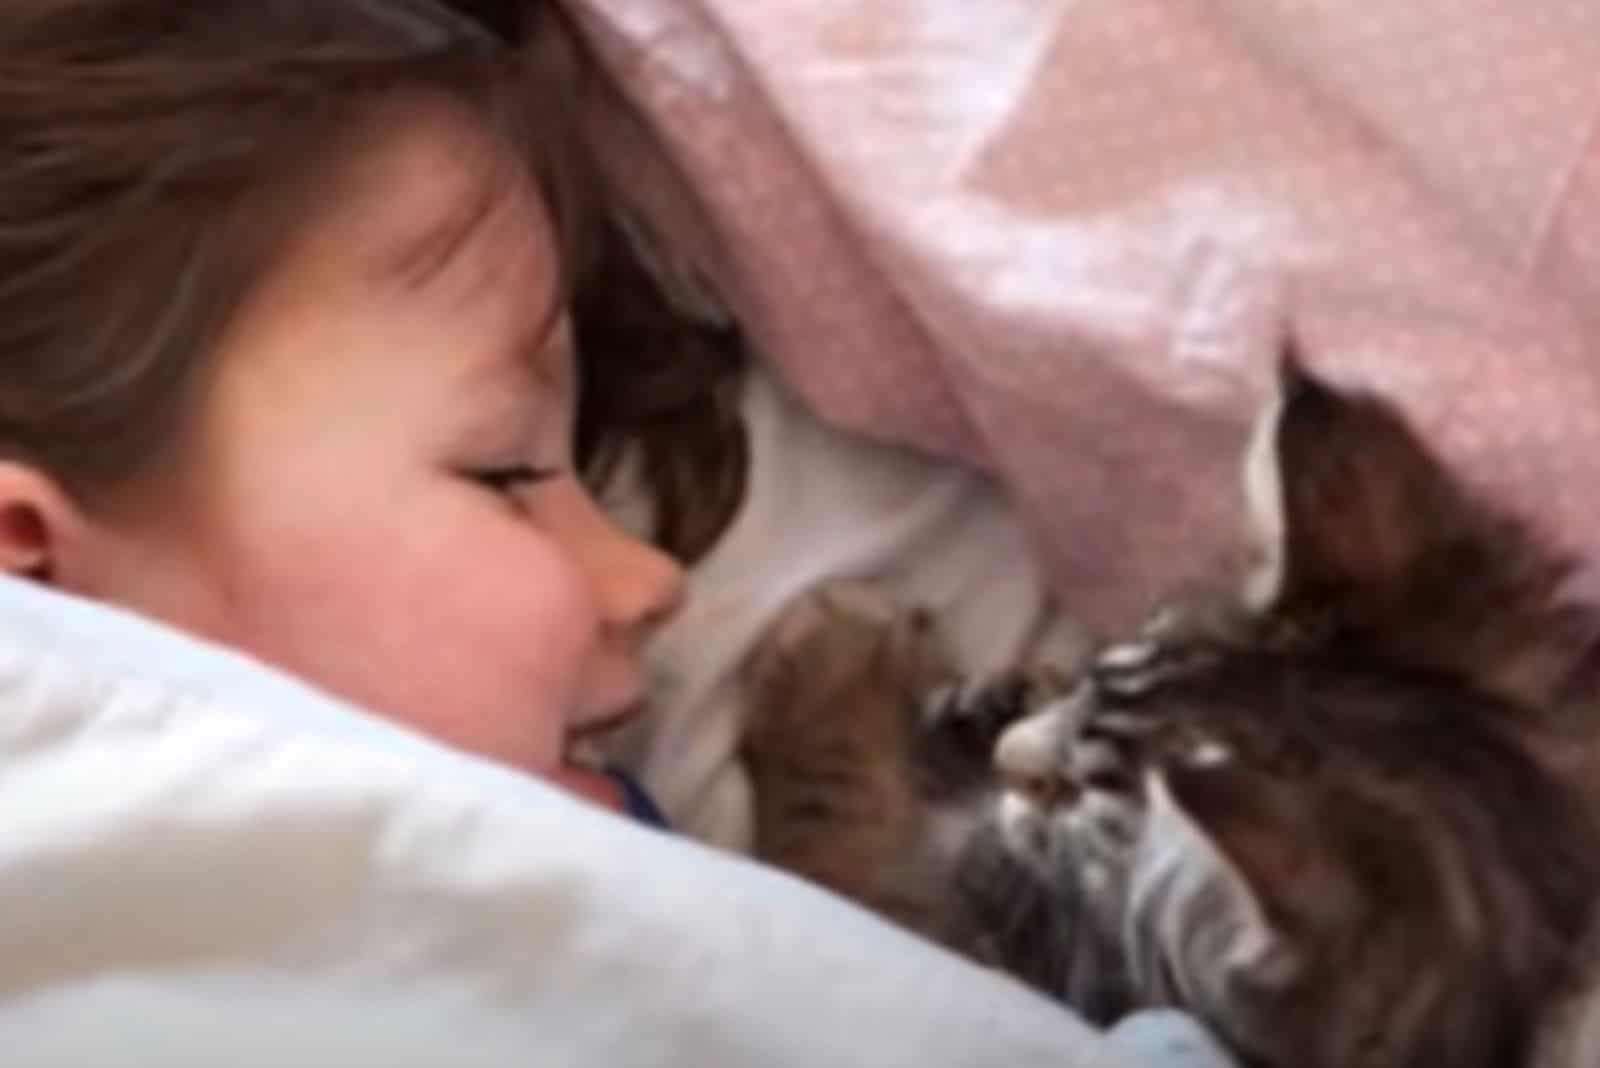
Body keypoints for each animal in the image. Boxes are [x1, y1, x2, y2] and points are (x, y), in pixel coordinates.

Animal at [742, 354, 1600, 1068]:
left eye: (1071, 797)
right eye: (1100, 669)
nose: (1009, 754)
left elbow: (845, 835)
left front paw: (834, 646)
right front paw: (996, 701)